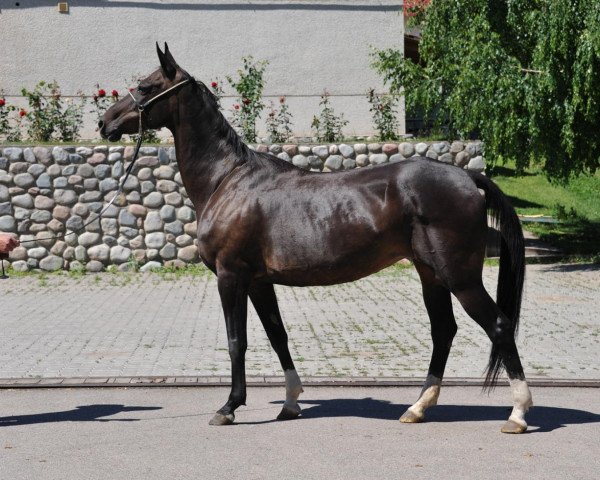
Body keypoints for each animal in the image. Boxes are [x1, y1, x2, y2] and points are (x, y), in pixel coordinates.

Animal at [101, 45, 532, 434]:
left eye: (144, 87)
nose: (106, 121)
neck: (227, 180)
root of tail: (467, 177)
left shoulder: (230, 276)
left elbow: (237, 340)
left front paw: (229, 407)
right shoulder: (258, 281)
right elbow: (277, 335)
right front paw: (291, 403)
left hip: (460, 276)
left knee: (498, 325)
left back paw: (517, 414)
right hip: (431, 275)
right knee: (443, 331)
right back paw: (417, 407)